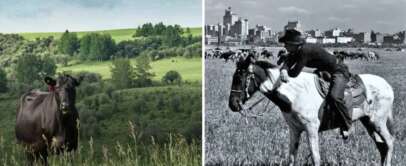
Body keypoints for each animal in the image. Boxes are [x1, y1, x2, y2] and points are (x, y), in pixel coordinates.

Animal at [230, 55, 394, 165]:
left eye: (240, 78)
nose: (233, 104)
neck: (295, 94)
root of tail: (387, 86)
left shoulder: (311, 129)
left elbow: (315, 157)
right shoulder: (295, 130)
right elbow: (291, 157)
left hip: (378, 122)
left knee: (389, 142)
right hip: (368, 122)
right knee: (382, 146)